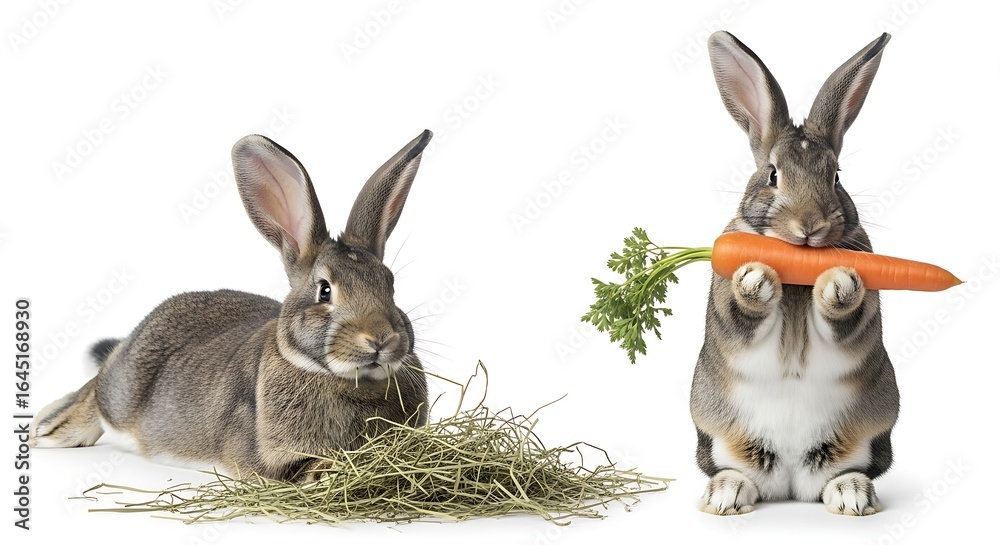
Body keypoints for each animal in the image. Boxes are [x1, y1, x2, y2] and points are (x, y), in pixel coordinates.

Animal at [30, 130, 433, 482]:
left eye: (390, 284)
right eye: (324, 291)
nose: (380, 339)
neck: (349, 380)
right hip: (122, 390)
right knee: (97, 390)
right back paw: (47, 429)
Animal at [690, 31, 899, 516]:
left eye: (837, 176)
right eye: (772, 175)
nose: (810, 226)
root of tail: (788, 483)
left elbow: (848, 317)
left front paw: (838, 281)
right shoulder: (726, 305)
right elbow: (740, 312)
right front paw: (756, 280)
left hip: (869, 439)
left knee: (847, 473)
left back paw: (852, 497)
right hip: (716, 437)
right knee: (731, 471)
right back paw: (726, 497)